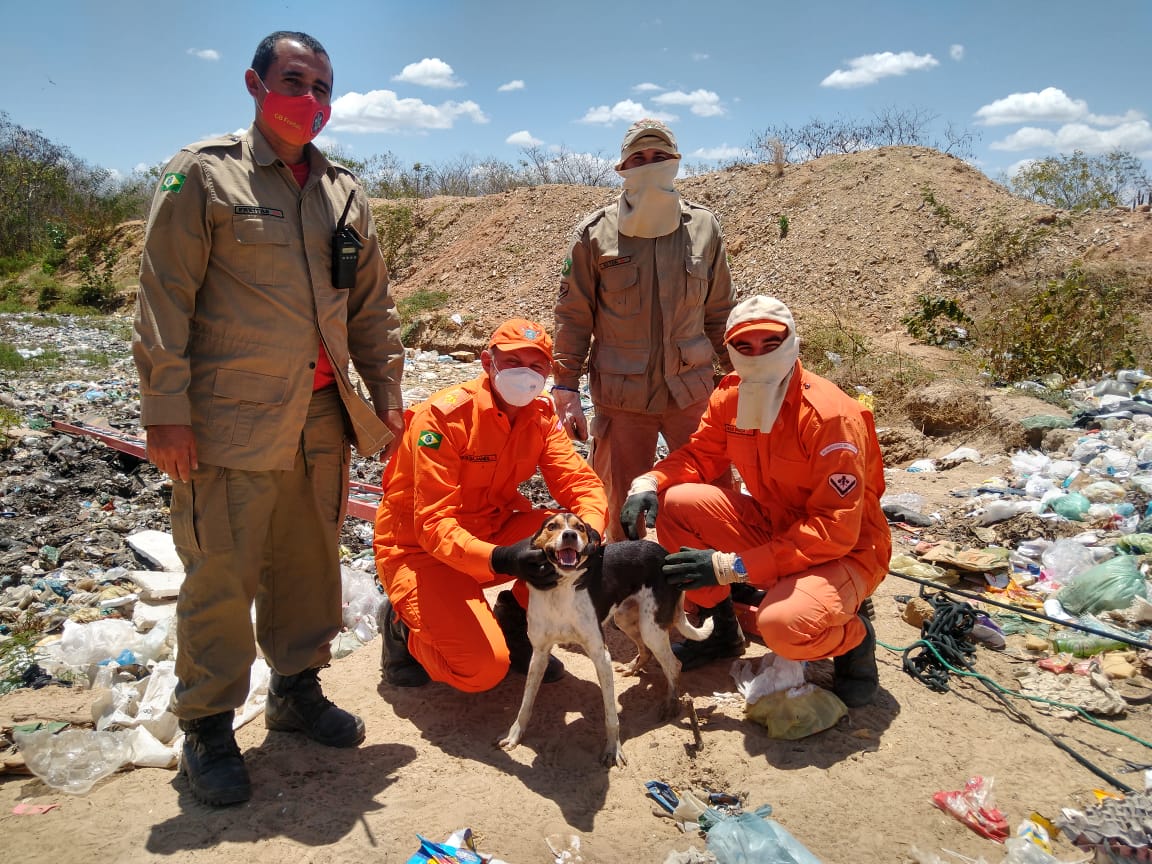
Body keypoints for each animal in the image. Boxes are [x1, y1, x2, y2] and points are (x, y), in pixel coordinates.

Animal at [499, 511, 714, 769]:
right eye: (552, 526)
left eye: (580, 528)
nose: (569, 535)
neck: (560, 591)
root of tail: (664, 553)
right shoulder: (539, 654)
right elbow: (526, 703)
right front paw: (514, 735)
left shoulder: (601, 656)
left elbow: (611, 715)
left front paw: (613, 750)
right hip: (624, 619)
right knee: (646, 651)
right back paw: (633, 668)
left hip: (651, 627)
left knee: (673, 664)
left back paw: (671, 704)